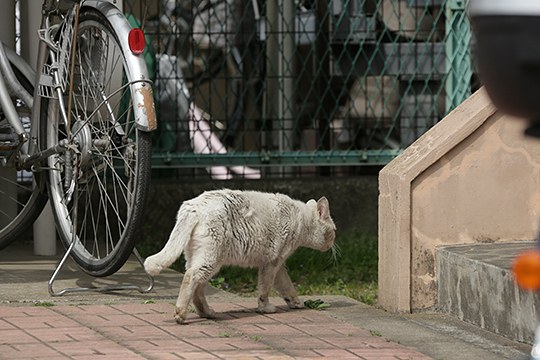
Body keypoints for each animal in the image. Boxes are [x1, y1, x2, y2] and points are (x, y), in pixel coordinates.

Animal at [146, 188, 336, 324]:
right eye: (334, 230)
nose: (334, 241)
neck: (300, 218)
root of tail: (194, 206)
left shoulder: (278, 264)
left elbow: (287, 286)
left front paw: (295, 302)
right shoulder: (272, 263)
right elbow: (265, 288)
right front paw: (265, 307)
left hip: (205, 260)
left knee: (197, 288)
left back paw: (206, 312)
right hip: (211, 259)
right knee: (190, 277)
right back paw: (180, 314)